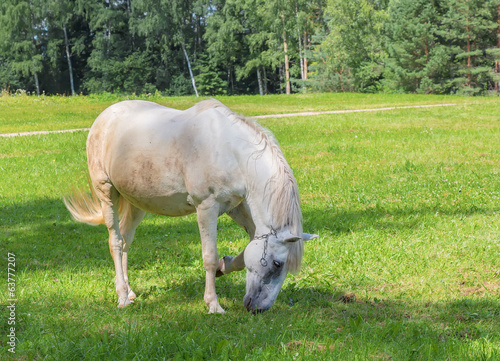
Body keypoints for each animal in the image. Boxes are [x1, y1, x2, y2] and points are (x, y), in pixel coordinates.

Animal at [64, 99, 318, 312]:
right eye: (277, 263)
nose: (258, 309)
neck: (230, 150)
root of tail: (105, 117)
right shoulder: (206, 207)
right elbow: (209, 256)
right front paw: (213, 304)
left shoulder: (235, 206)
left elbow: (245, 248)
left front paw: (224, 266)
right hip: (107, 192)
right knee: (115, 242)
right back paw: (123, 298)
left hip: (137, 204)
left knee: (126, 241)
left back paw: (130, 290)